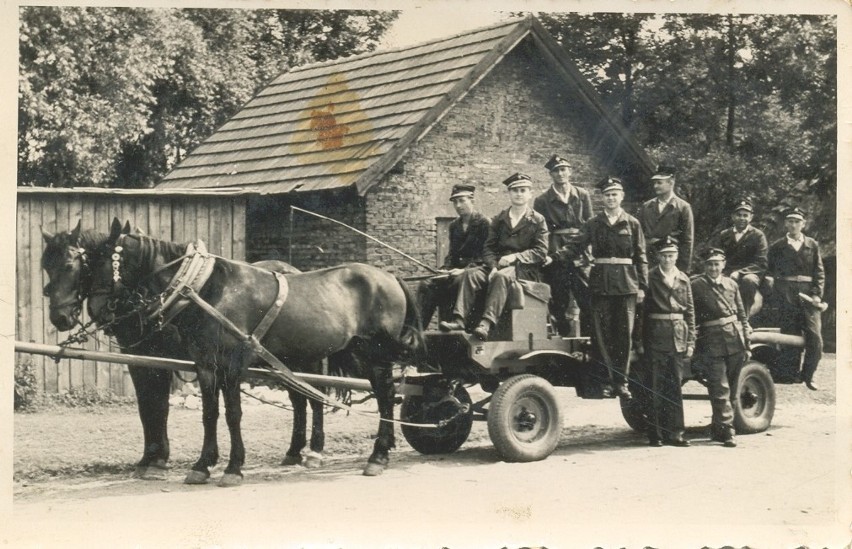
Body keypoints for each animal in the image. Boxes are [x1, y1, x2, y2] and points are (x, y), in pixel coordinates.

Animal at [40, 223, 332, 480]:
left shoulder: (160, 359)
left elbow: (158, 406)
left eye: (70, 265)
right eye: (46, 266)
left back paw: (315, 451)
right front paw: (149, 459)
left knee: (315, 398)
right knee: (299, 400)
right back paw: (293, 451)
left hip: (306, 357)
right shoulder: (140, 361)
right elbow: (147, 407)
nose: (60, 318)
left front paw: (157, 461)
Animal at [81, 218, 424, 484]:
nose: (98, 311)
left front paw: (233, 468)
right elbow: (209, 413)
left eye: (101, 262)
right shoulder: (205, 364)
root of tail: (389, 276)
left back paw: (376, 456)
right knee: (373, 396)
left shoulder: (233, 363)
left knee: (383, 395)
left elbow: (233, 413)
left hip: (373, 354)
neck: (207, 289)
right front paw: (203, 465)